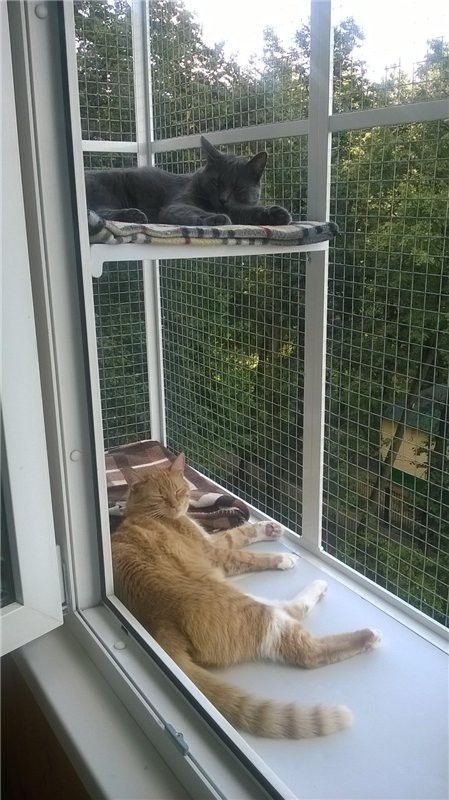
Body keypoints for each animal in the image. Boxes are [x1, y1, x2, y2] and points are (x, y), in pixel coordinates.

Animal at [86, 136, 292, 227]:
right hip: (106, 190)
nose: (223, 199)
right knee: (99, 211)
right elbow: (192, 211)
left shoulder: (236, 207)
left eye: (238, 187)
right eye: (216, 182)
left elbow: (244, 210)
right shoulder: (178, 204)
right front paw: (216, 218)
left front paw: (276, 214)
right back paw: (134, 215)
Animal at [111, 454, 378, 740]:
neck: (142, 513)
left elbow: (239, 533)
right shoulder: (215, 553)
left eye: (180, 491)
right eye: (161, 497)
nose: (177, 505)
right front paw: (282, 557)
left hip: (243, 597)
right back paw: (367, 634)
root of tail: (160, 624)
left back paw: (318, 587)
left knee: (288, 608)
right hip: (250, 610)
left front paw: (268, 528)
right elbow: (242, 550)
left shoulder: (214, 543)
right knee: (307, 647)